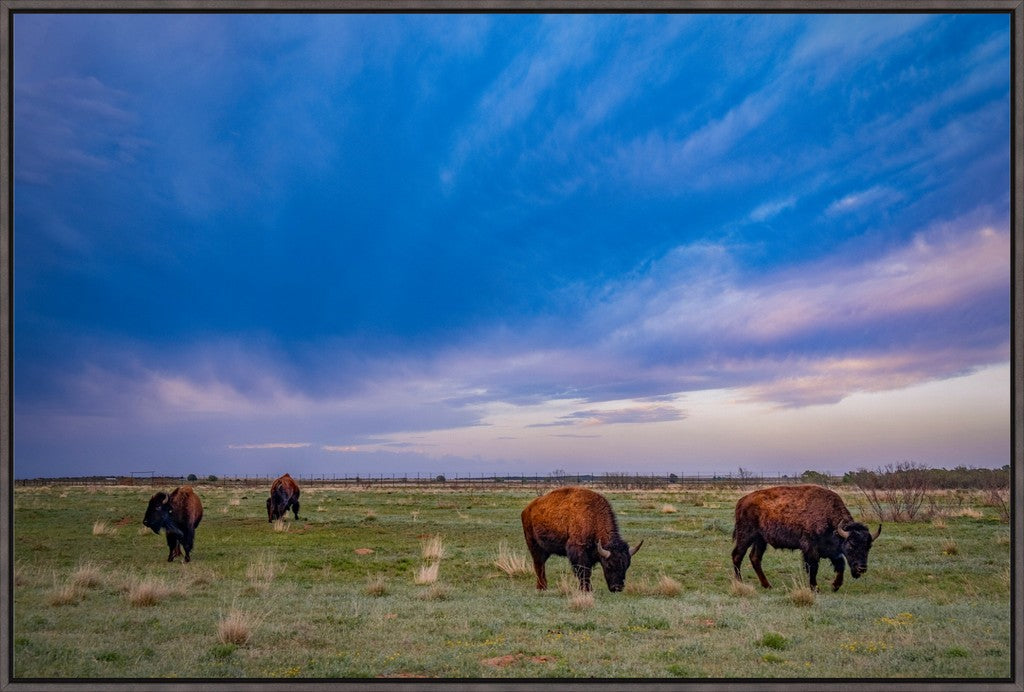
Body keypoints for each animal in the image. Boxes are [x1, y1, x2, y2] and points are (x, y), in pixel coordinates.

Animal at [729, 483, 880, 593]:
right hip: (746, 536)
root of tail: (742, 501)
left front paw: (835, 586)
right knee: (737, 555)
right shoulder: (810, 548)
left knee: (755, 558)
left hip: (760, 540)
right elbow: (813, 567)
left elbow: (840, 565)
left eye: (868, 546)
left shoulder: (832, 551)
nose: (862, 568)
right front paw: (815, 588)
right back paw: (739, 582)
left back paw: (767, 585)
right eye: (851, 545)